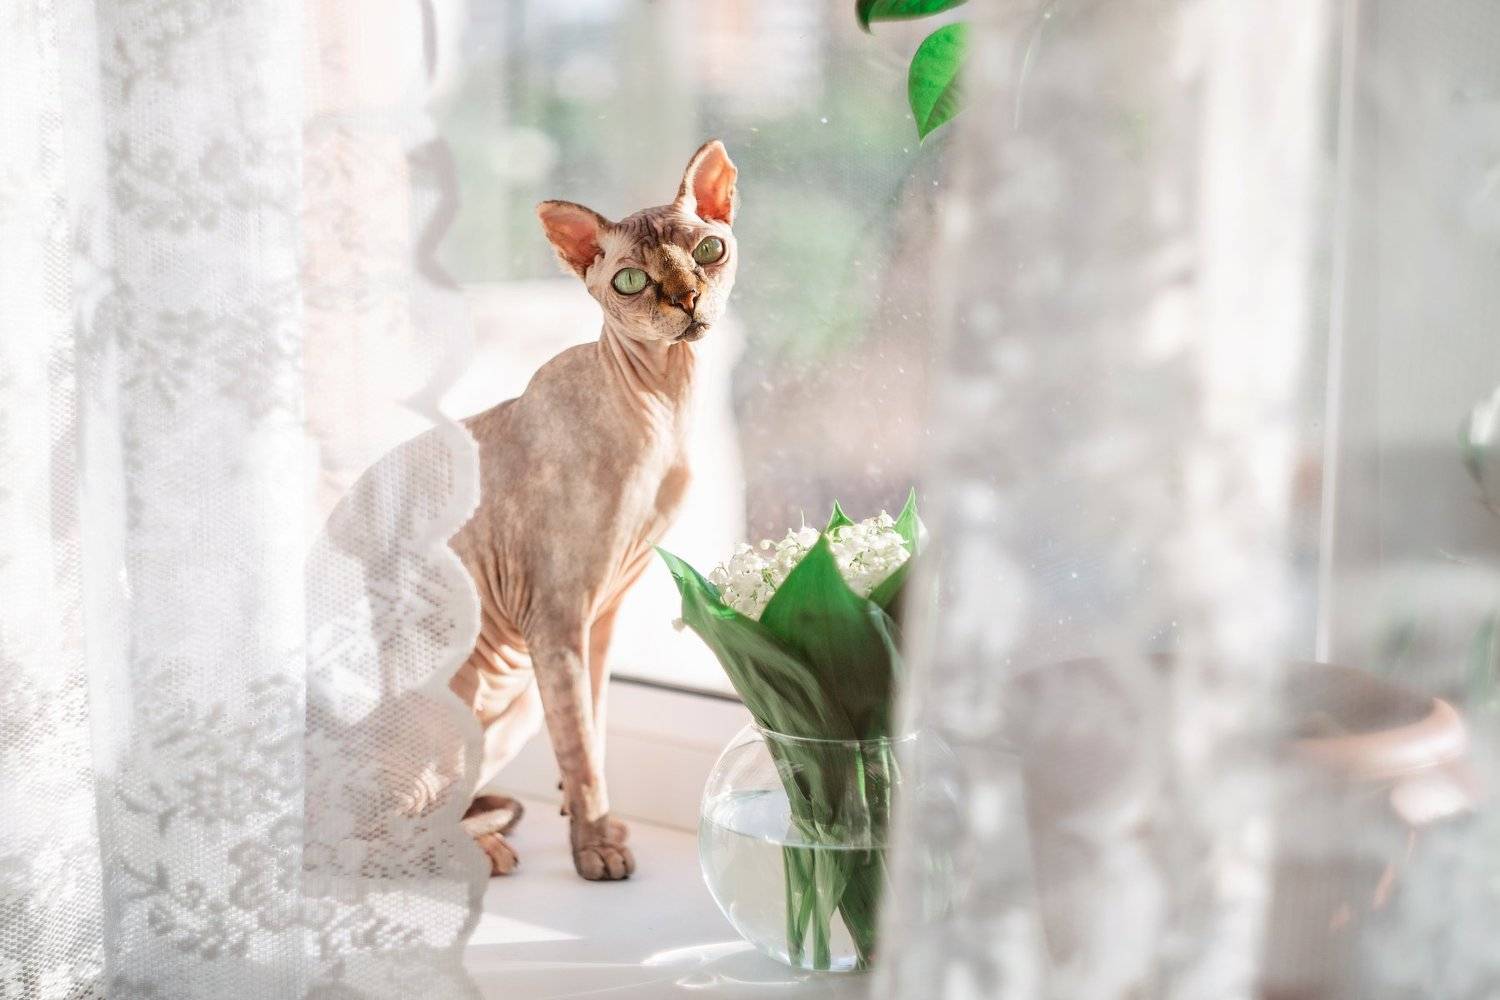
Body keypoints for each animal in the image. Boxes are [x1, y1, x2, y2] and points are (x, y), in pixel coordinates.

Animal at [447, 140, 739, 880]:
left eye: (710, 251)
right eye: (631, 281)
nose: (687, 298)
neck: (662, 409)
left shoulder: (602, 611)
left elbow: (595, 726)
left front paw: (587, 820)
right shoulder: (555, 615)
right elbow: (578, 741)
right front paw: (597, 847)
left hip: (516, 702)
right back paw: (483, 852)